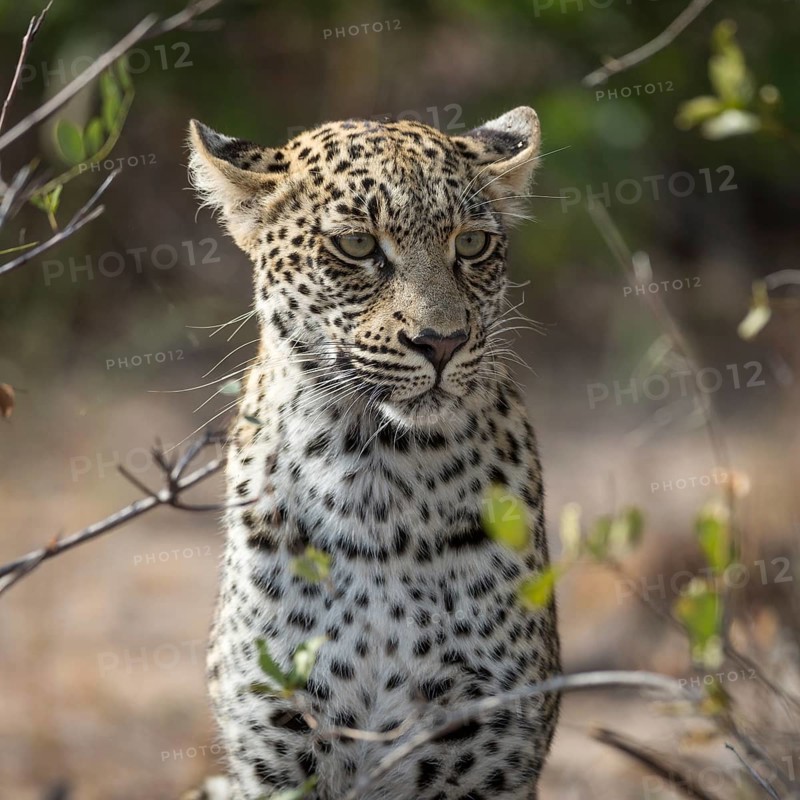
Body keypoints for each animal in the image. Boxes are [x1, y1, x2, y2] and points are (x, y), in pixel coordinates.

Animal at [184, 106, 560, 800]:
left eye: (472, 244)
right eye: (358, 247)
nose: (441, 342)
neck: (375, 472)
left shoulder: (484, 749)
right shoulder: (278, 746)